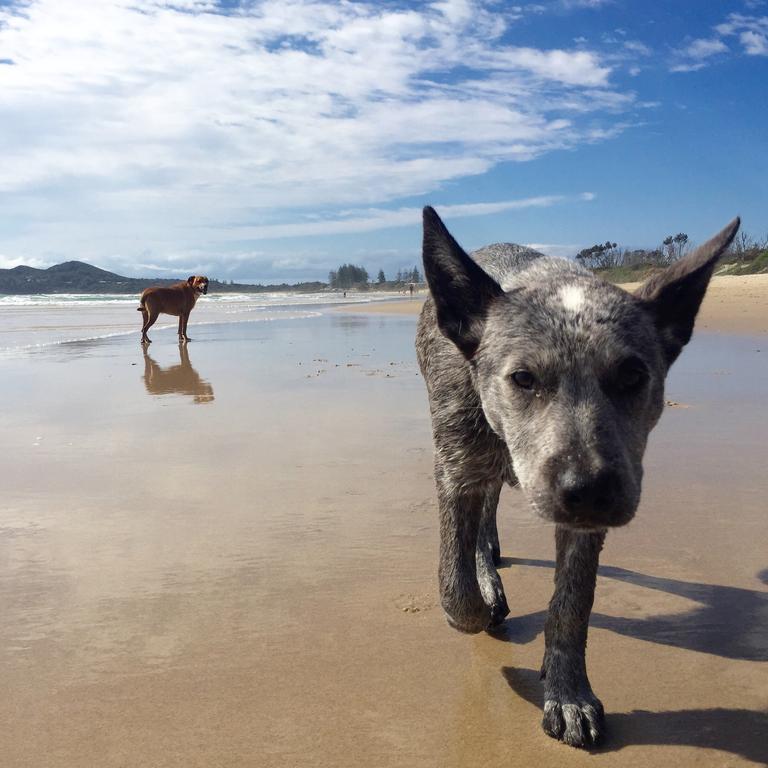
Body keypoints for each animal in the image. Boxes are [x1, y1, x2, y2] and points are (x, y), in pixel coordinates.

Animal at [416, 207, 740, 748]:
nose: (589, 491)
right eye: (523, 378)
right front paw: (482, 601)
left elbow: (573, 603)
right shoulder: (456, 465)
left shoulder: (587, 520)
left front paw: (568, 693)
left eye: (633, 376)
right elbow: (455, 589)